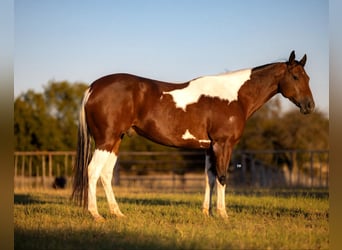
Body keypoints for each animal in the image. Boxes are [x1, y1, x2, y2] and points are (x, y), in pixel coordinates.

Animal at [71, 50, 316, 221]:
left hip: (115, 141)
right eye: (295, 76)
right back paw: (96, 214)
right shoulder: (223, 145)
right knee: (93, 171)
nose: (310, 106)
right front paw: (223, 214)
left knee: (105, 174)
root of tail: (93, 87)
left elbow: (209, 178)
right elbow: (222, 177)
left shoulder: (209, 148)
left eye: (308, 78)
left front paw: (206, 213)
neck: (234, 97)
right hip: (106, 140)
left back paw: (117, 213)